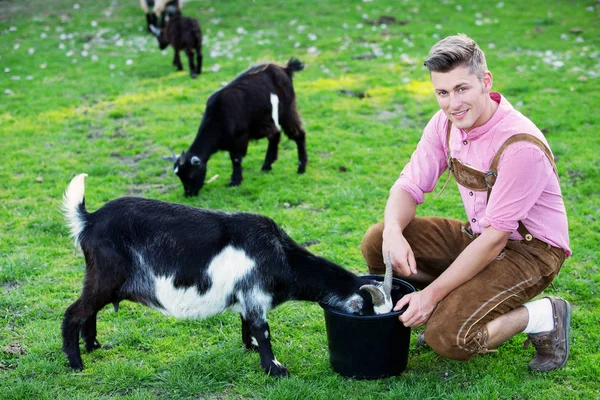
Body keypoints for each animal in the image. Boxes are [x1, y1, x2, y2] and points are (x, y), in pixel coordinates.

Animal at [61, 174, 394, 376]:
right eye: (369, 312)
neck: (280, 254)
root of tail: (89, 220)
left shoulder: (247, 297)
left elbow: (247, 324)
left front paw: (250, 348)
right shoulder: (256, 294)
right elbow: (263, 329)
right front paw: (275, 368)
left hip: (102, 279)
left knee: (89, 311)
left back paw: (93, 346)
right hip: (106, 276)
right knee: (73, 313)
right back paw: (76, 364)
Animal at [166, 58, 310, 197]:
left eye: (190, 174)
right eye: (179, 176)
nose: (188, 194)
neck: (219, 116)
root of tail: (285, 69)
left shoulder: (240, 138)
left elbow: (235, 159)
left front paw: (235, 181)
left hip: (288, 110)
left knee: (298, 134)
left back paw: (301, 168)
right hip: (265, 120)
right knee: (275, 134)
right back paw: (266, 166)